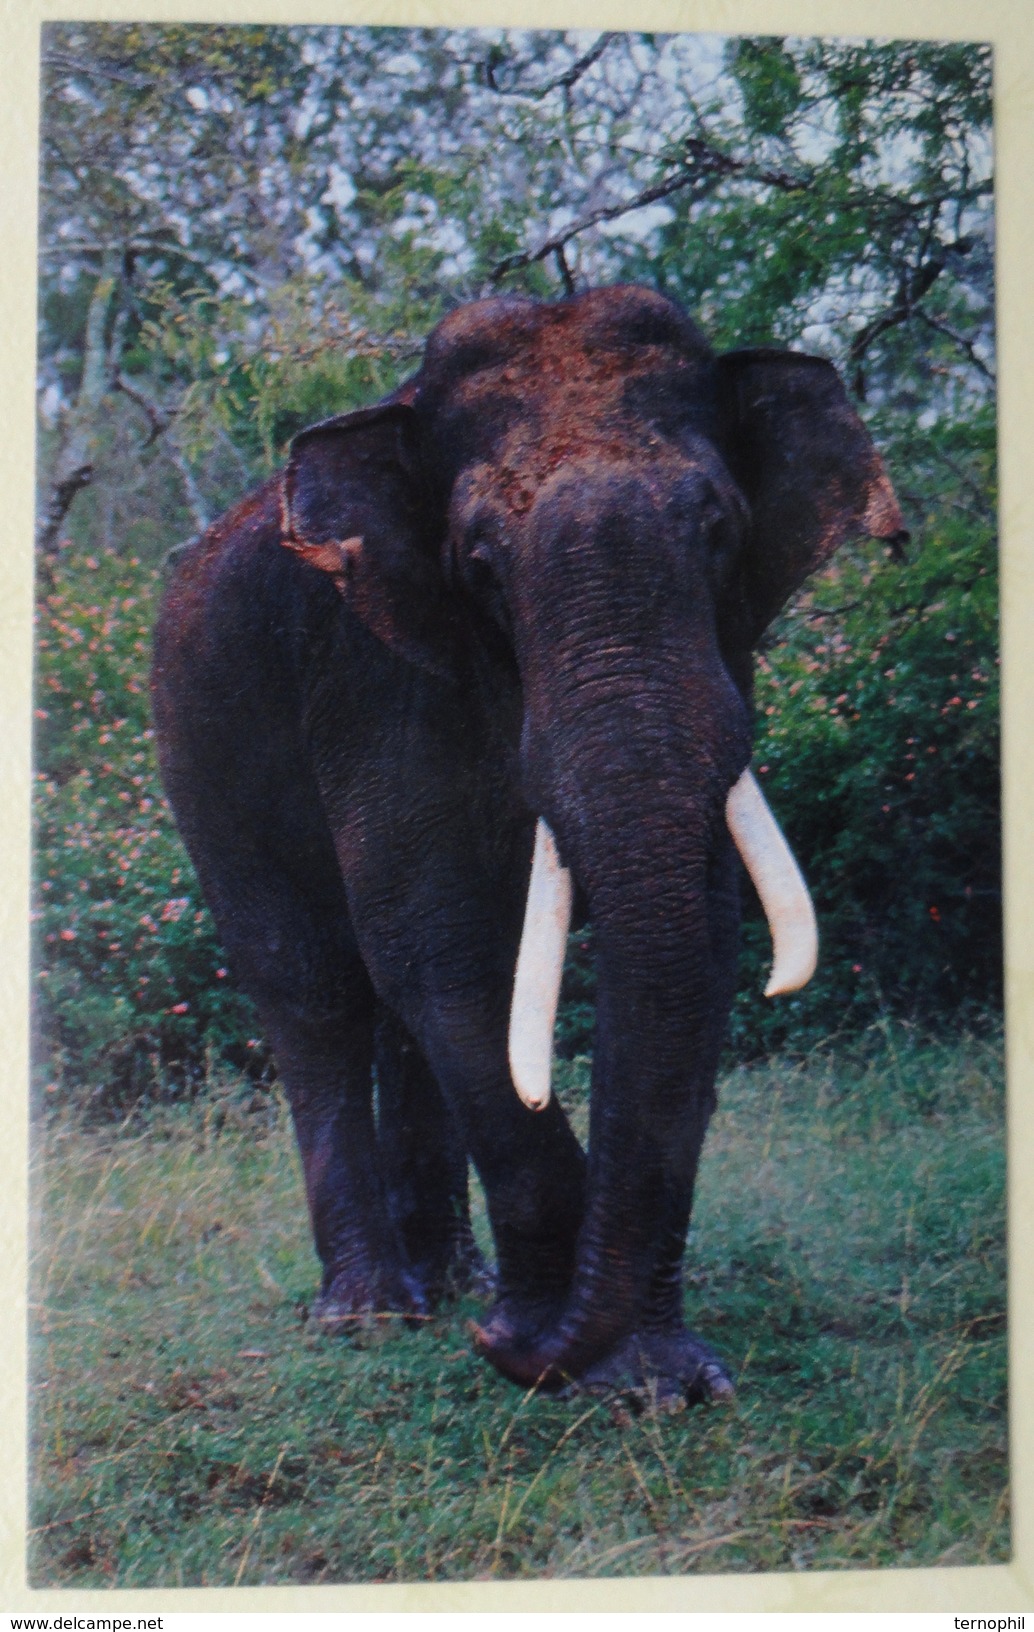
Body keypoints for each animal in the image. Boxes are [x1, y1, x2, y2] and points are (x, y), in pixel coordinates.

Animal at [153, 280, 900, 1403]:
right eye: (479, 564)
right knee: (313, 990)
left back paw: (449, 1285)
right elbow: (441, 954)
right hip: (199, 753)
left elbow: (707, 938)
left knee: (391, 1022)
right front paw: (573, 1363)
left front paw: (669, 1383)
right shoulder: (374, 679)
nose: (497, 1349)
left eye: (716, 527)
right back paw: (374, 1317)